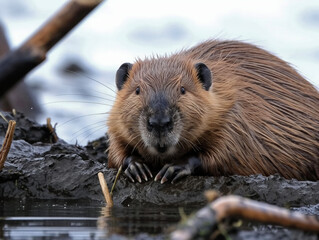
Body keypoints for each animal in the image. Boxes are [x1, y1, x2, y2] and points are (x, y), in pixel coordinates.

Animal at [107, 40, 319, 183]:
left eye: (183, 89)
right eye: (137, 90)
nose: (160, 123)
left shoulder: (236, 119)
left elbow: (227, 154)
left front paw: (174, 168)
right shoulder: (115, 123)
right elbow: (115, 152)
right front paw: (136, 166)